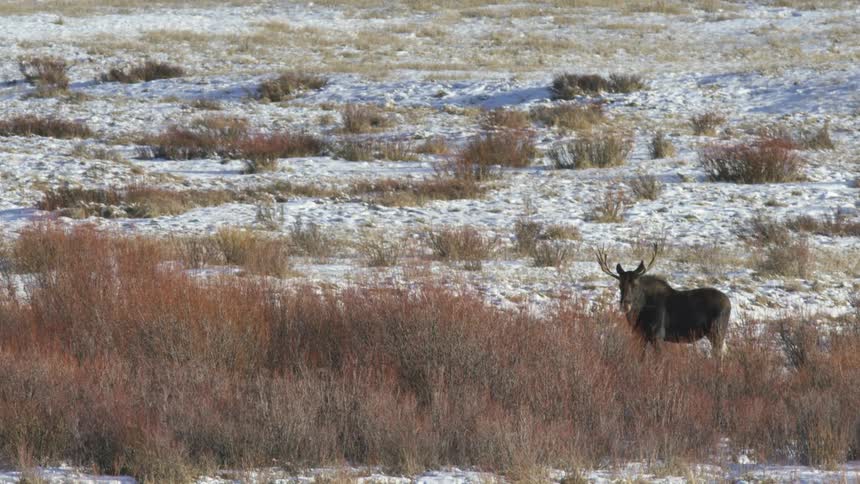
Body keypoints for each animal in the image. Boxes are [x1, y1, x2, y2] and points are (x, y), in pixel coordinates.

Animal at [596, 244, 731, 359]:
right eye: (620, 285)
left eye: (635, 284)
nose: (625, 304)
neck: (639, 313)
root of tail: (730, 304)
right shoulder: (640, 336)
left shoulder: (658, 336)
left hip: (717, 332)